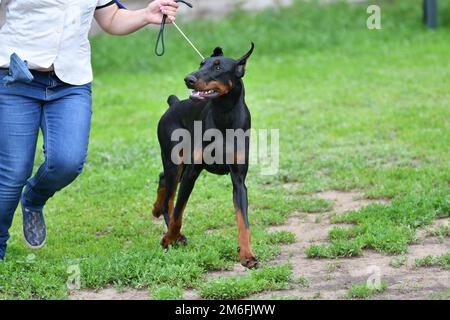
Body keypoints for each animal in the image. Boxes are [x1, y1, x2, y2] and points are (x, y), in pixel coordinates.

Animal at [152, 42, 258, 268]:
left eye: (218, 67)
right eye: (201, 63)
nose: (188, 79)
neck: (224, 116)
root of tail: (174, 103)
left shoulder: (239, 180)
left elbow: (243, 221)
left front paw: (247, 256)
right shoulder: (192, 173)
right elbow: (178, 213)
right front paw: (168, 238)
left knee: (163, 178)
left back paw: (156, 210)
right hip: (175, 161)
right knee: (169, 198)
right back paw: (172, 230)